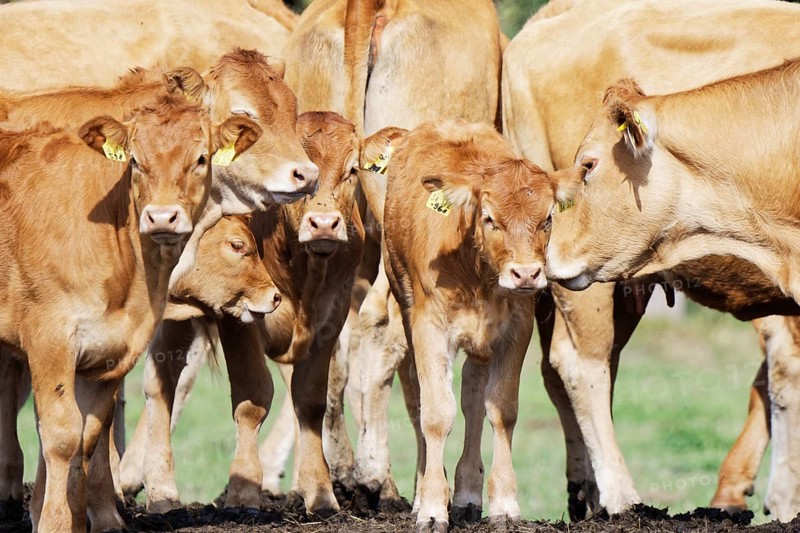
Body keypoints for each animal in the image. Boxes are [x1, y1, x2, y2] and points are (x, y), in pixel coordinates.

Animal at [0, 93, 257, 532]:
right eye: (135, 160)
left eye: (202, 157)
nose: (162, 216)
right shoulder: (49, 337)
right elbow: (61, 435)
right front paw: (54, 522)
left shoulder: (108, 353)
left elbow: (87, 438)